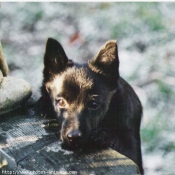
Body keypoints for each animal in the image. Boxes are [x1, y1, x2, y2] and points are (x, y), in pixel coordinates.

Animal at [37, 38, 143, 174]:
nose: (73, 138)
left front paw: (103, 134)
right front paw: (45, 103)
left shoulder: (133, 152)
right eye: (60, 102)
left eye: (93, 104)